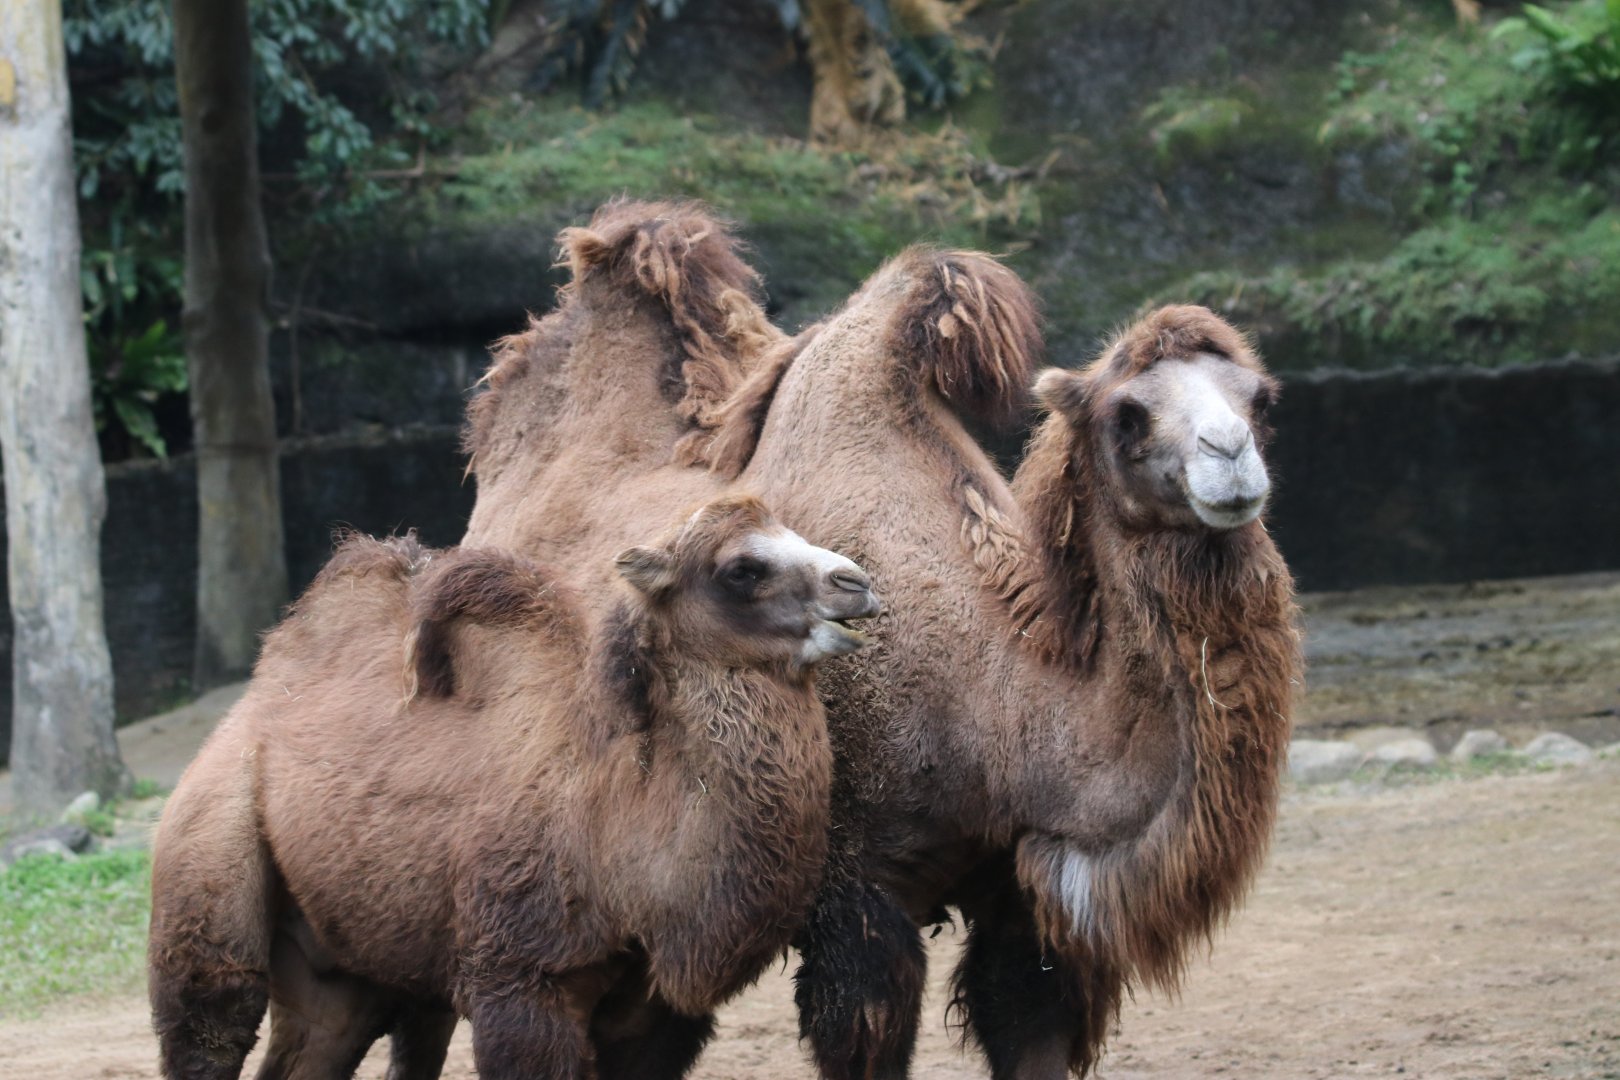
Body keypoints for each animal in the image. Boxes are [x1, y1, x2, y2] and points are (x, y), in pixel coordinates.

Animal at [146, 493, 880, 1080]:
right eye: (742, 569)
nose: (859, 583)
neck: (617, 819)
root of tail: (246, 712)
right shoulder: (522, 984)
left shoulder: (653, 1012)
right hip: (210, 859)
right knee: (210, 1019)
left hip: (347, 959)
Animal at [450, 201, 1301, 1078]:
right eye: (1126, 416)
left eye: (1260, 399)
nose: (1231, 460)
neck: (1000, 710)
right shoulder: (855, 892)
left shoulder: (1019, 901)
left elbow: (1027, 1024)